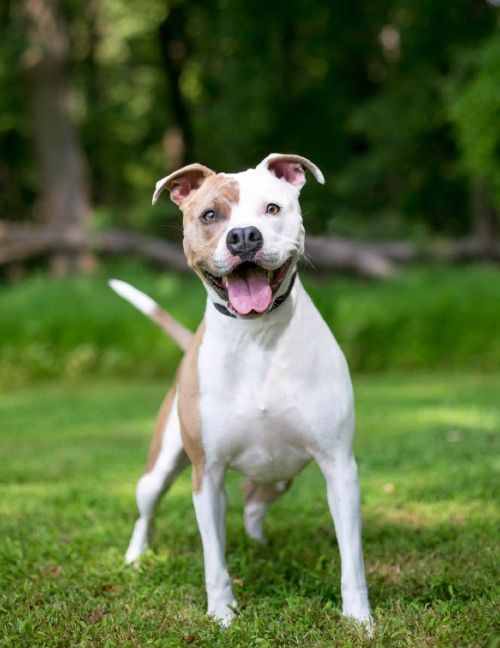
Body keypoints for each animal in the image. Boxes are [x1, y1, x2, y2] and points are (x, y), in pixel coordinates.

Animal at [112, 153, 372, 628]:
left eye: (272, 208)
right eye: (210, 216)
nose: (245, 236)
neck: (258, 337)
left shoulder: (340, 468)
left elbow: (352, 559)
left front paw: (359, 619)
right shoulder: (207, 475)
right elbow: (214, 558)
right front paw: (222, 614)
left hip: (282, 473)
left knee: (254, 500)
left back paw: (258, 544)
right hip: (160, 468)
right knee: (147, 510)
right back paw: (136, 557)